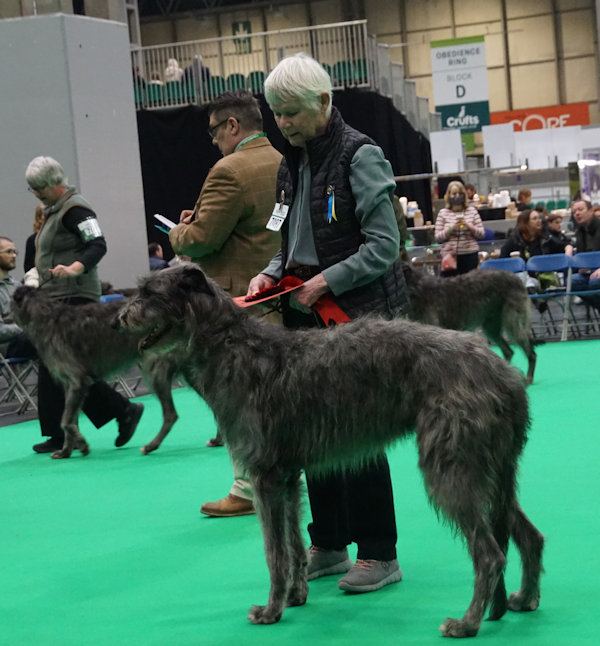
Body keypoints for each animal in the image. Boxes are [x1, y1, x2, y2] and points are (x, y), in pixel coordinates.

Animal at [10, 288, 184, 460]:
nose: (6, 317)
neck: (44, 316)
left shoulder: (77, 381)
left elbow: (65, 422)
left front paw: (82, 444)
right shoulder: (70, 386)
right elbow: (71, 420)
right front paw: (66, 450)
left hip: (156, 368)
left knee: (170, 414)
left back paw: (151, 445)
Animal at [400, 264, 536, 384]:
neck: (416, 289)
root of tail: (516, 278)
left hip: (513, 322)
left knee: (529, 351)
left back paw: (528, 378)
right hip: (491, 326)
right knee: (508, 351)